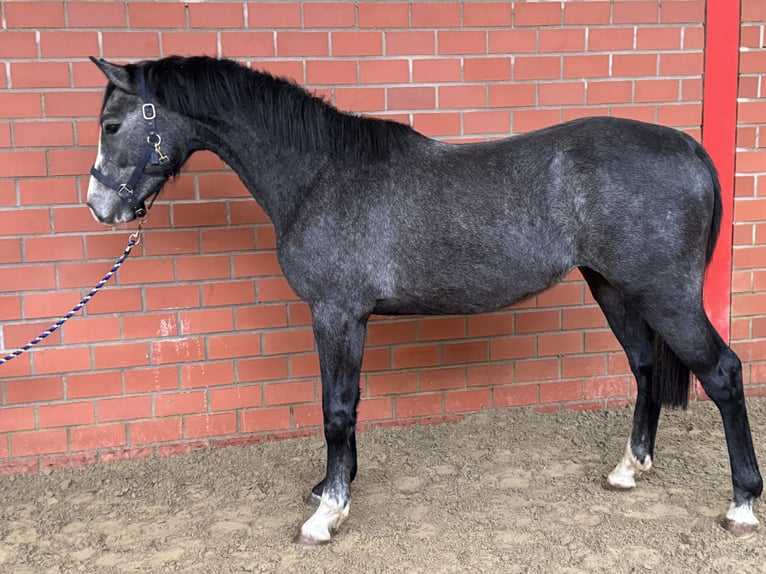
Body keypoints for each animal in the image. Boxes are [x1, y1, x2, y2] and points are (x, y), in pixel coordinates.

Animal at [87, 56, 764, 548]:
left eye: (112, 125)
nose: (100, 207)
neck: (321, 173)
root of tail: (686, 146)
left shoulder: (336, 315)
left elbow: (335, 409)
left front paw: (326, 516)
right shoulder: (349, 320)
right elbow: (349, 405)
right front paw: (332, 488)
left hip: (666, 294)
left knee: (723, 373)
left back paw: (740, 505)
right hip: (613, 288)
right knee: (644, 366)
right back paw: (629, 468)